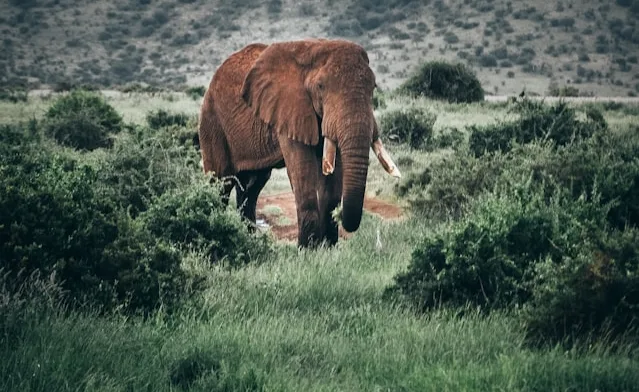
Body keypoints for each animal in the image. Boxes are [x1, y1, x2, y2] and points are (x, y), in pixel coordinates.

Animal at [198, 39, 402, 248]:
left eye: (373, 87)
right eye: (320, 86)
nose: (343, 218)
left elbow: (333, 174)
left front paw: (328, 248)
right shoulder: (289, 109)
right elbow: (302, 170)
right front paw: (308, 249)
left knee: (250, 188)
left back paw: (250, 239)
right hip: (212, 122)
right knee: (221, 182)